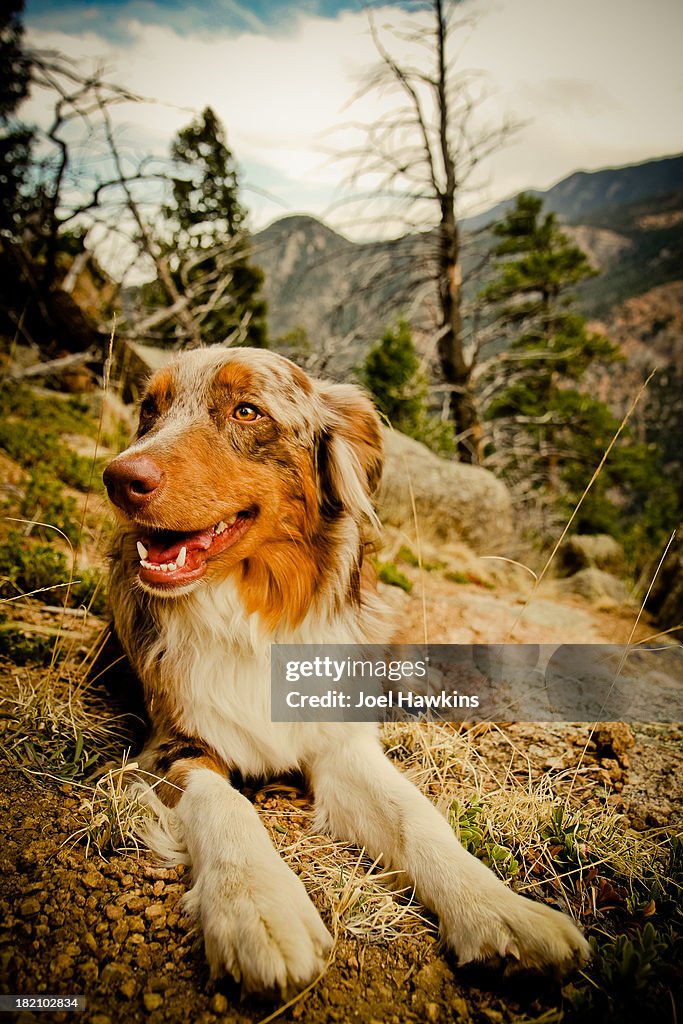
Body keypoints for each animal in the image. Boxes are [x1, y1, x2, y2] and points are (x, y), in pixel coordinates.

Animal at [104, 346, 589, 991]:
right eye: (149, 410)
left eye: (247, 410)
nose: (118, 479)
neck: (253, 620)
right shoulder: (172, 744)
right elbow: (226, 806)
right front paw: (257, 907)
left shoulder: (339, 742)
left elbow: (416, 817)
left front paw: (499, 909)